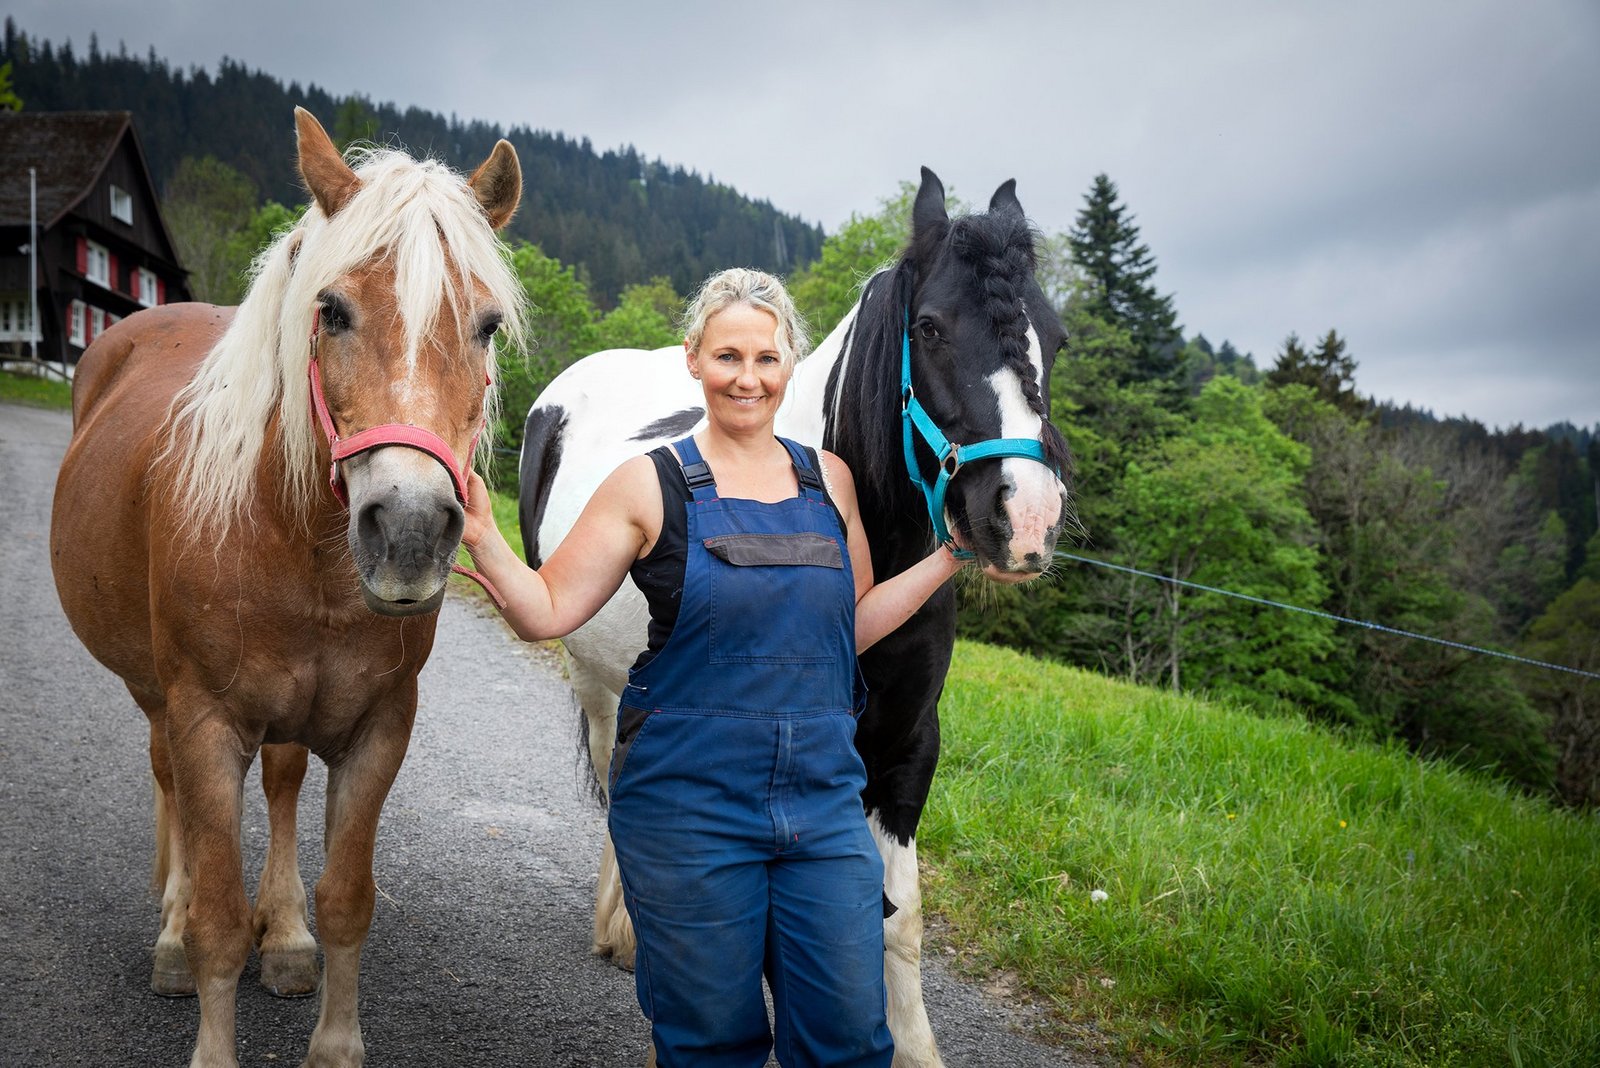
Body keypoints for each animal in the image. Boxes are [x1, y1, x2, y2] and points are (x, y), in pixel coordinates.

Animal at [49, 107, 525, 1068]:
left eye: (488, 326)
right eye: (331, 310)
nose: (409, 530)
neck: (296, 547)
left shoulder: (379, 727)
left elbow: (347, 898)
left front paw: (331, 1030)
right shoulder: (203, 722)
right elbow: (218, 922)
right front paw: (208, 1008)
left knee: (281, 780)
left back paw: (289, 938)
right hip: (155, 694)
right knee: (169, 786)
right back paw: (169, 934)